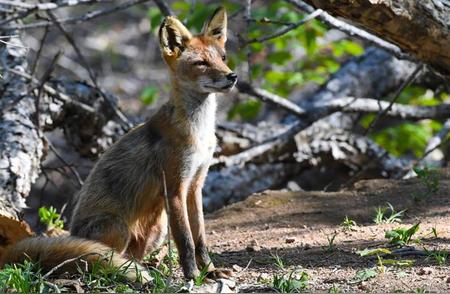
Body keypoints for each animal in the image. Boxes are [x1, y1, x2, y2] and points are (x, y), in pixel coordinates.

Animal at [0, 8, 237, 282]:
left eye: (223, 57)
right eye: (201, 63)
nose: (232, 76)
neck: (199, 132)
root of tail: (73, 232)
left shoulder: (195, 185)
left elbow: (200, 239)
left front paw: (209, 271)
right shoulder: (175, 187)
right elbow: (185, 240)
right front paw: (192, 276)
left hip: (157, 228)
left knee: (133, 257)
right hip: (120, 227)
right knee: (101, 262)